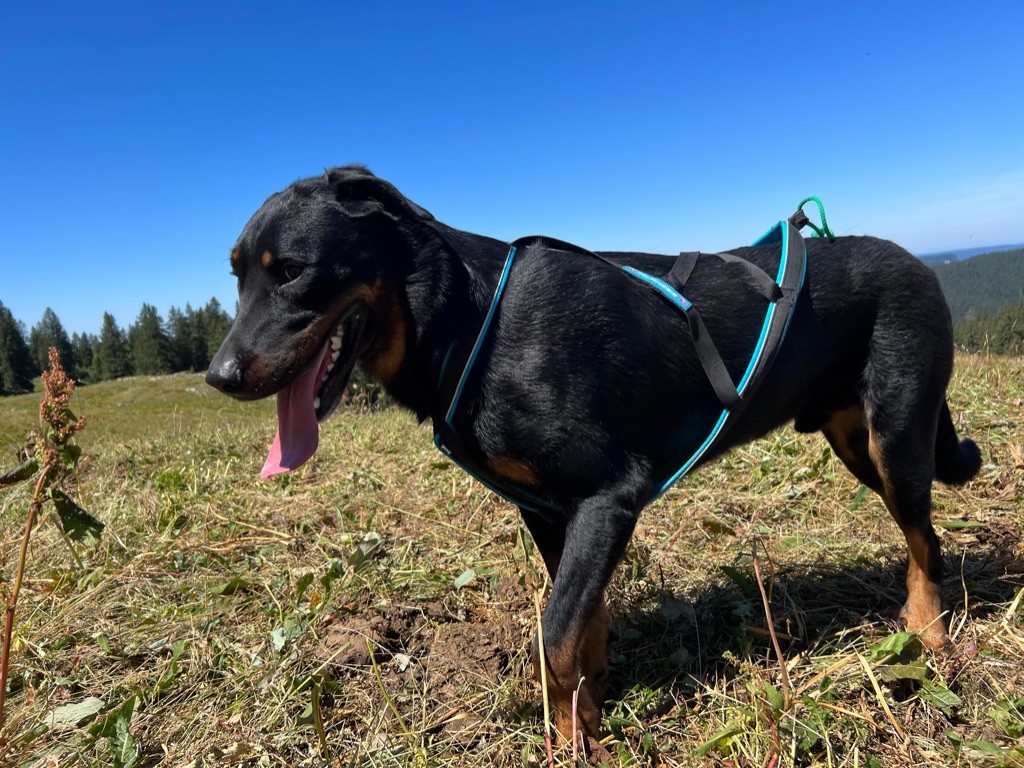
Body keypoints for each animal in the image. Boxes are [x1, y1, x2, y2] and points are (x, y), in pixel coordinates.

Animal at [203, 165, 978, 741]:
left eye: (292, 270)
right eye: (236, 275)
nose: (220, 376)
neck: (468, 321)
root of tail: (920, 262)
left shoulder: (609, 497)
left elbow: (554, 632)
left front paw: (573, 738)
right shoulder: (549, 510)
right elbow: (582, 617)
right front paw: (590, 698)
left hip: (895, 436)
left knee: (925, 538)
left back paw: (928, 635)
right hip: (853, 440)